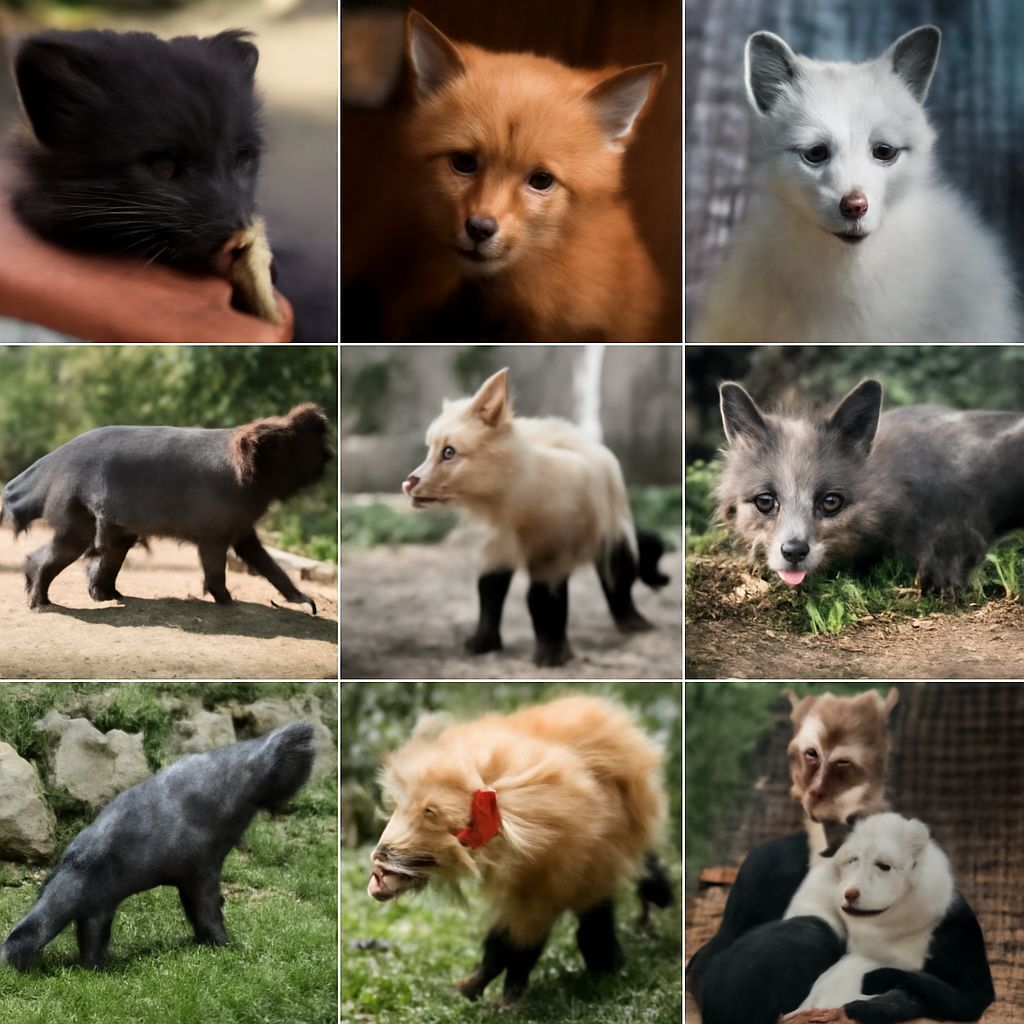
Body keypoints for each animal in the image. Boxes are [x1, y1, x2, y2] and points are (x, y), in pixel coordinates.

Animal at [368, 694, 673, 1005]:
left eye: (430, 814)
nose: (379, 858)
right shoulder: (533, 889)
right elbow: (501, 946)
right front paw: (472, 990)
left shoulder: (545, 889)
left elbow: (520, 948)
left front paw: (505, 999)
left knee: (637, 874)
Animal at [402, 367, 668, 667]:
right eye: (429, 449)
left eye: (449, 452)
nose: (408, 484)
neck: (514, 504)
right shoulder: (496, 546)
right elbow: (489, 590)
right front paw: (482, 644)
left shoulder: (552, 552)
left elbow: (542, 600)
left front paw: (551, 657)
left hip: (610, 536)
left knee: (620, 578)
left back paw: (636, 625)